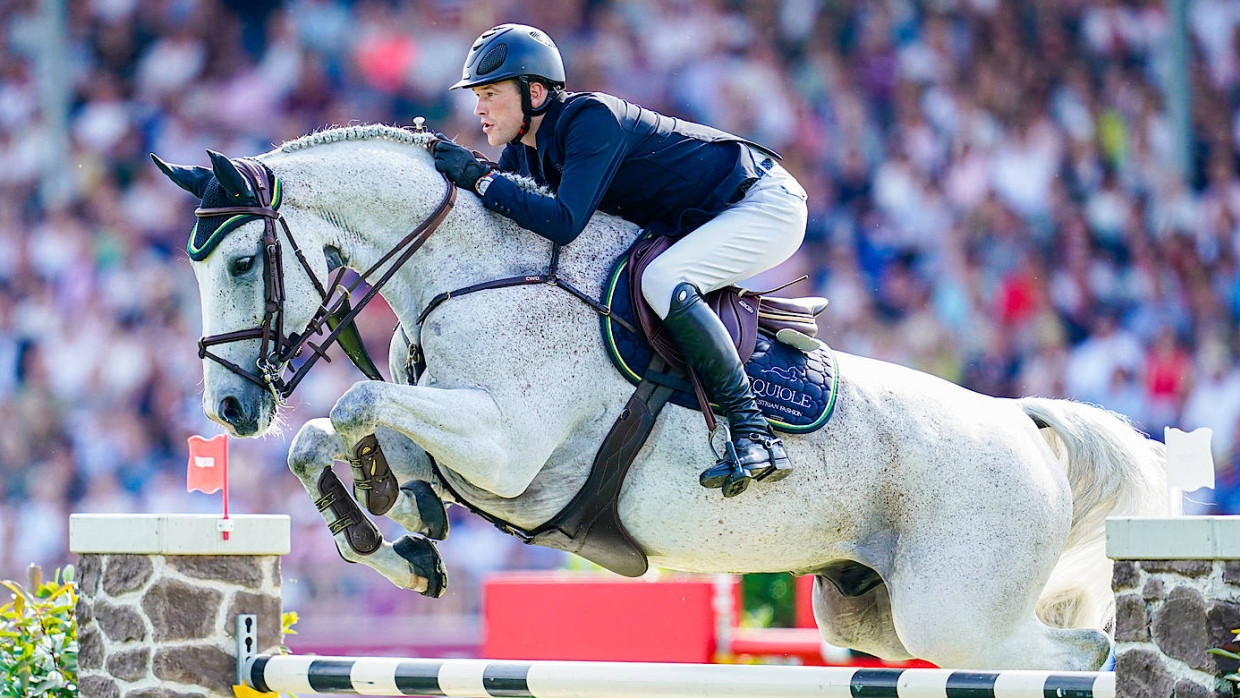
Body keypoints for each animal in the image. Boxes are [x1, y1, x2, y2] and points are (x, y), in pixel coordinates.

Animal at [150, 123, 1165, 669]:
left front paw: (389, 519)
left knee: (1083, 652)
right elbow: (331, 439)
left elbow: (358, 410)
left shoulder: (509, 448)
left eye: (239, 263)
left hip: (954, 614)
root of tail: (1020, 424)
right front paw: (400, 539)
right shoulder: (464, 438)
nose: (230, 413)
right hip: (867, 612)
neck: (468, 272)